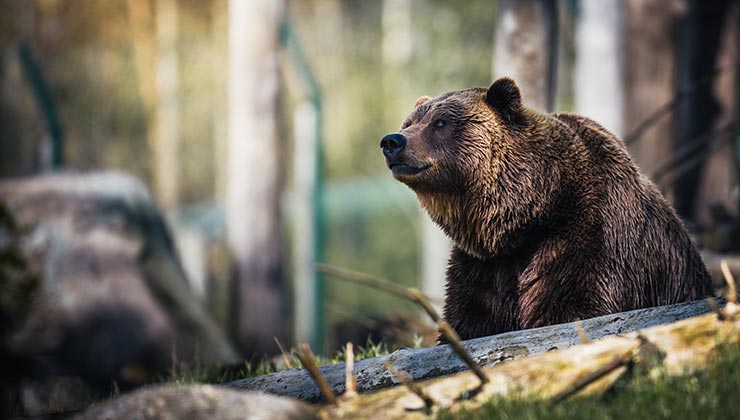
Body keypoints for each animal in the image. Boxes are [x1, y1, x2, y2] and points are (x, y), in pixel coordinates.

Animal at [378, 77, 712, 340]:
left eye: (441, 123)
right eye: (410, 122)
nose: (392, 141)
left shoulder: (588, 235)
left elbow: (572, 305)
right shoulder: (483, 267)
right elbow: (470, 320)